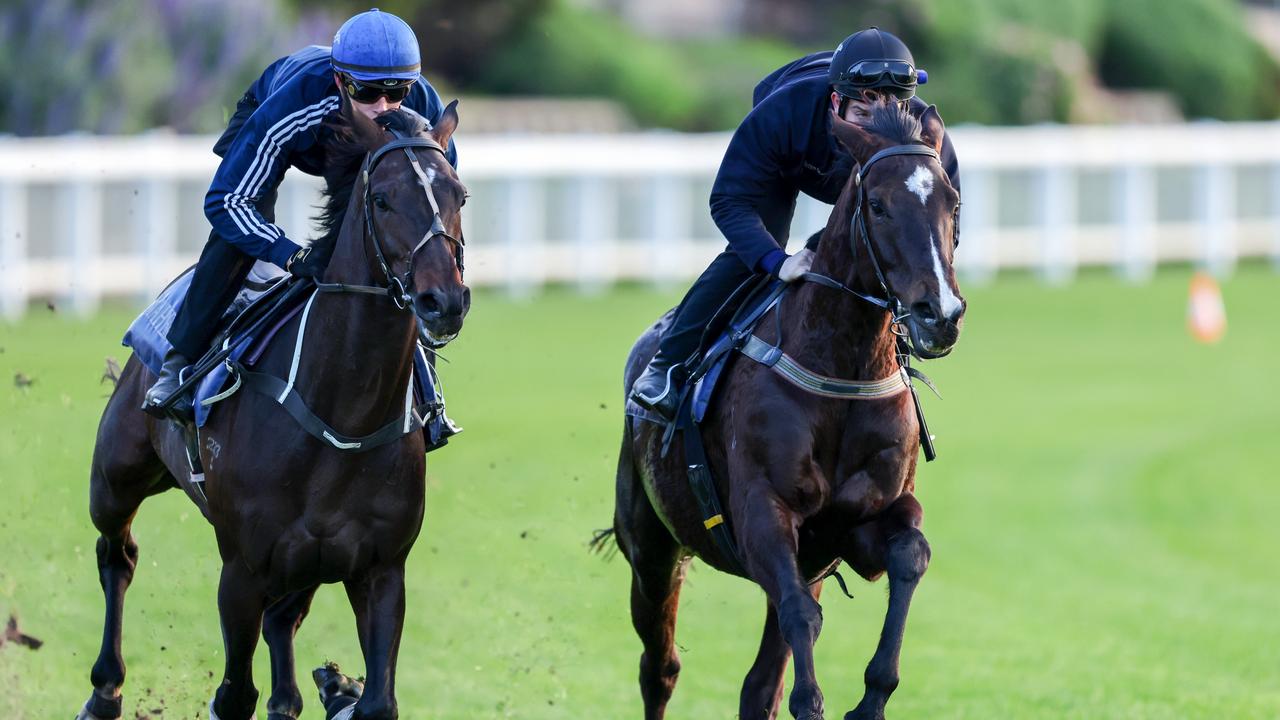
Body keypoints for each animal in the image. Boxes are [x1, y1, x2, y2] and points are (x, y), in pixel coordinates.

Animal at [78, 103, 471, 712]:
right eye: (383, 199)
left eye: (459, 195)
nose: (443, 300)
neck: (343, 414)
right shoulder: (242, 568)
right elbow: (235, 693)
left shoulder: (380, 569)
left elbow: (378, 699)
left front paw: (341, 688)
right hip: (116, 476)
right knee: (117, 555)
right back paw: (104, 689)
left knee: (282, 625)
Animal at [606, 101, 962, 717]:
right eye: (878, 204)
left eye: (952, 201)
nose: (939, 314)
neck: (842, 368)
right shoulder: (762, 515)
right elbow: (803, 615)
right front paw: (815, 699)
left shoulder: (853, 527)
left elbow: (910, 555)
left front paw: (872, 696)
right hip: (651, 548)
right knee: (661, 666)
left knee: (756, 685)